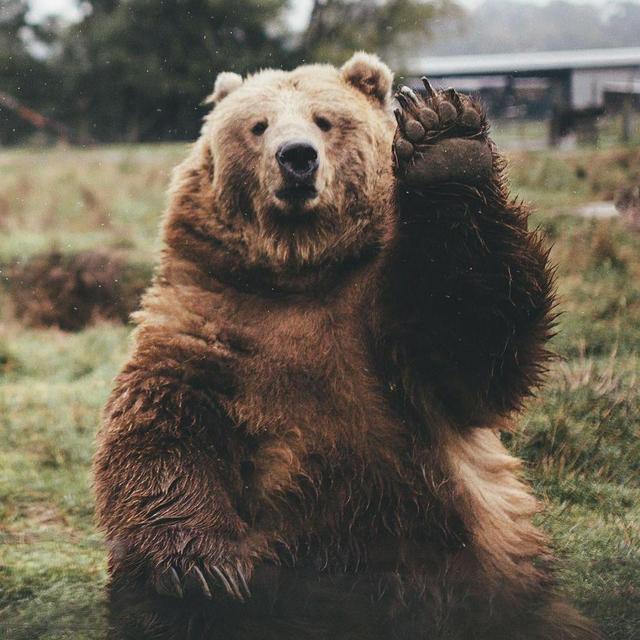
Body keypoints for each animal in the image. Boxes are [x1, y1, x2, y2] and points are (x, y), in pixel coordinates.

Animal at [94, 53, 600, 640]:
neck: (299, 272)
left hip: (491, 585)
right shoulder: (210, 320)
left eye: (324, 120)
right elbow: (162, 426)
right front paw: (201, 568)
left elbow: (474, 341)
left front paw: (445, 142)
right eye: (258, 125)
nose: (297, 157)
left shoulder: (388, 328)